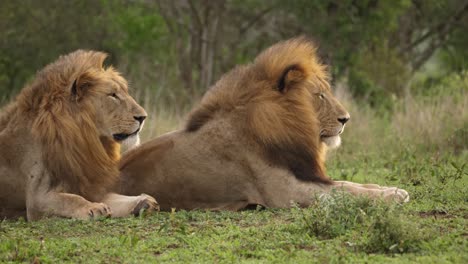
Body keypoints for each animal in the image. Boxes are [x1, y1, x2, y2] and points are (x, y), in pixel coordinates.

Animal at [0, 50, 159, 220]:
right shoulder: (35, 200)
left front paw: (143, 201)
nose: (143, 117)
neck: (84, 141)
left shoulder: (88, 185)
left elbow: (114, 197)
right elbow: (70, 199)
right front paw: (94, 208)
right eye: (112, 95)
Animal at [120, 37, 410, 210]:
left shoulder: (305, 175)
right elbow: (345, 192)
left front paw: (389, 189)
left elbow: (350, 185)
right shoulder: (286, 192)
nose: (346, 118)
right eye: (319, 95)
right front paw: (394, 195)